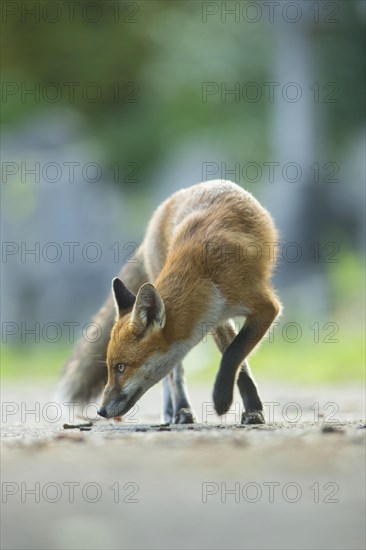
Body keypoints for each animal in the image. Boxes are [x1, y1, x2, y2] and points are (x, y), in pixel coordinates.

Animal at [59, 181, 280, 426]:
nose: (101, 411)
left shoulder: (260, 306)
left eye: (120, 367)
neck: (204, 273)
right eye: (109, 367)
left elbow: (234, 354)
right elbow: (232, 361)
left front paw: (236, 404)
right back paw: (178, 410)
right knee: (174, 376)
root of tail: (168, 202)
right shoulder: (216, 316)